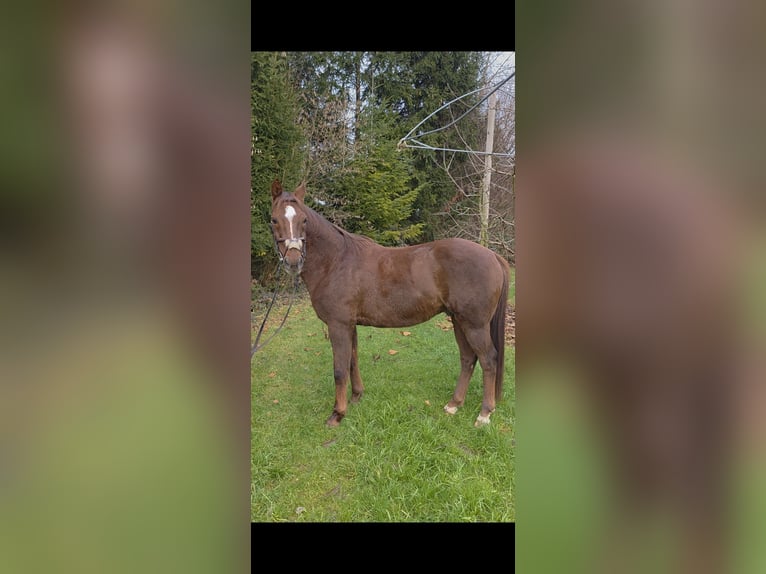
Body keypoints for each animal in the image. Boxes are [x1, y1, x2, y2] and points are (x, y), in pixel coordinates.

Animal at [268, 179, 511, 427]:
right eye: (274, 219)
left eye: (304, 220)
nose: (293, 260)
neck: (336, 261)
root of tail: (492, 255)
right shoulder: (349, 325)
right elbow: (352, 360)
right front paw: (356, 397)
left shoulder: (338, 325)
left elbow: (339, 369)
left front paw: (338, 414)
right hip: (458, 320)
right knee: (468, 358)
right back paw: (454, 404)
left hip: (474, 324)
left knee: (488, 359)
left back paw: (484, 413)